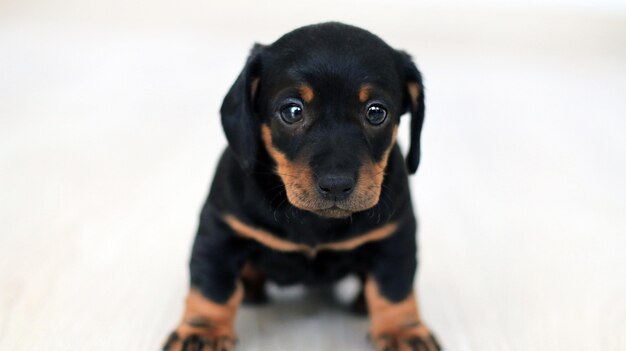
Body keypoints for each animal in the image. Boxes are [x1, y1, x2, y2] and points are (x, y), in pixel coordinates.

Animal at [163, 22, 442, 351]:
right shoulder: (220, 231)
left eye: (376, 112)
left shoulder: (395, 238)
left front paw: (404, 332)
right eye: (292, 111)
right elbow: (212, 288)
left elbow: (394, 290)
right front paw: (201, 332)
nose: (336, 185)